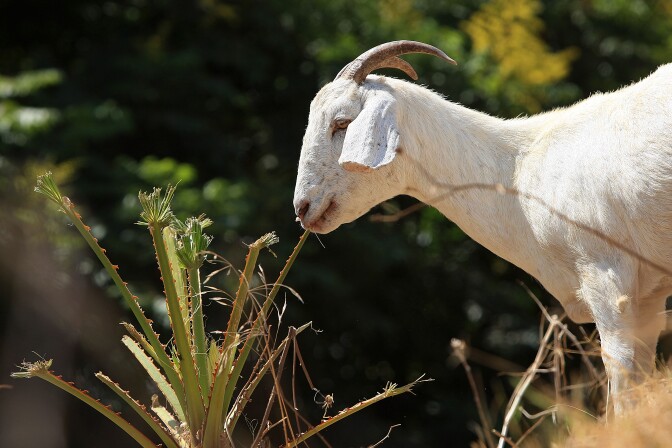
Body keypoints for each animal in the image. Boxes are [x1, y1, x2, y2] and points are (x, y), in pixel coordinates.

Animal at [293, 40, 672, 413]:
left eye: (342, 123)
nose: (303, 207)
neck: (518, 170)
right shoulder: (649, 295)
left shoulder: (608, 280)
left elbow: (623, 387)